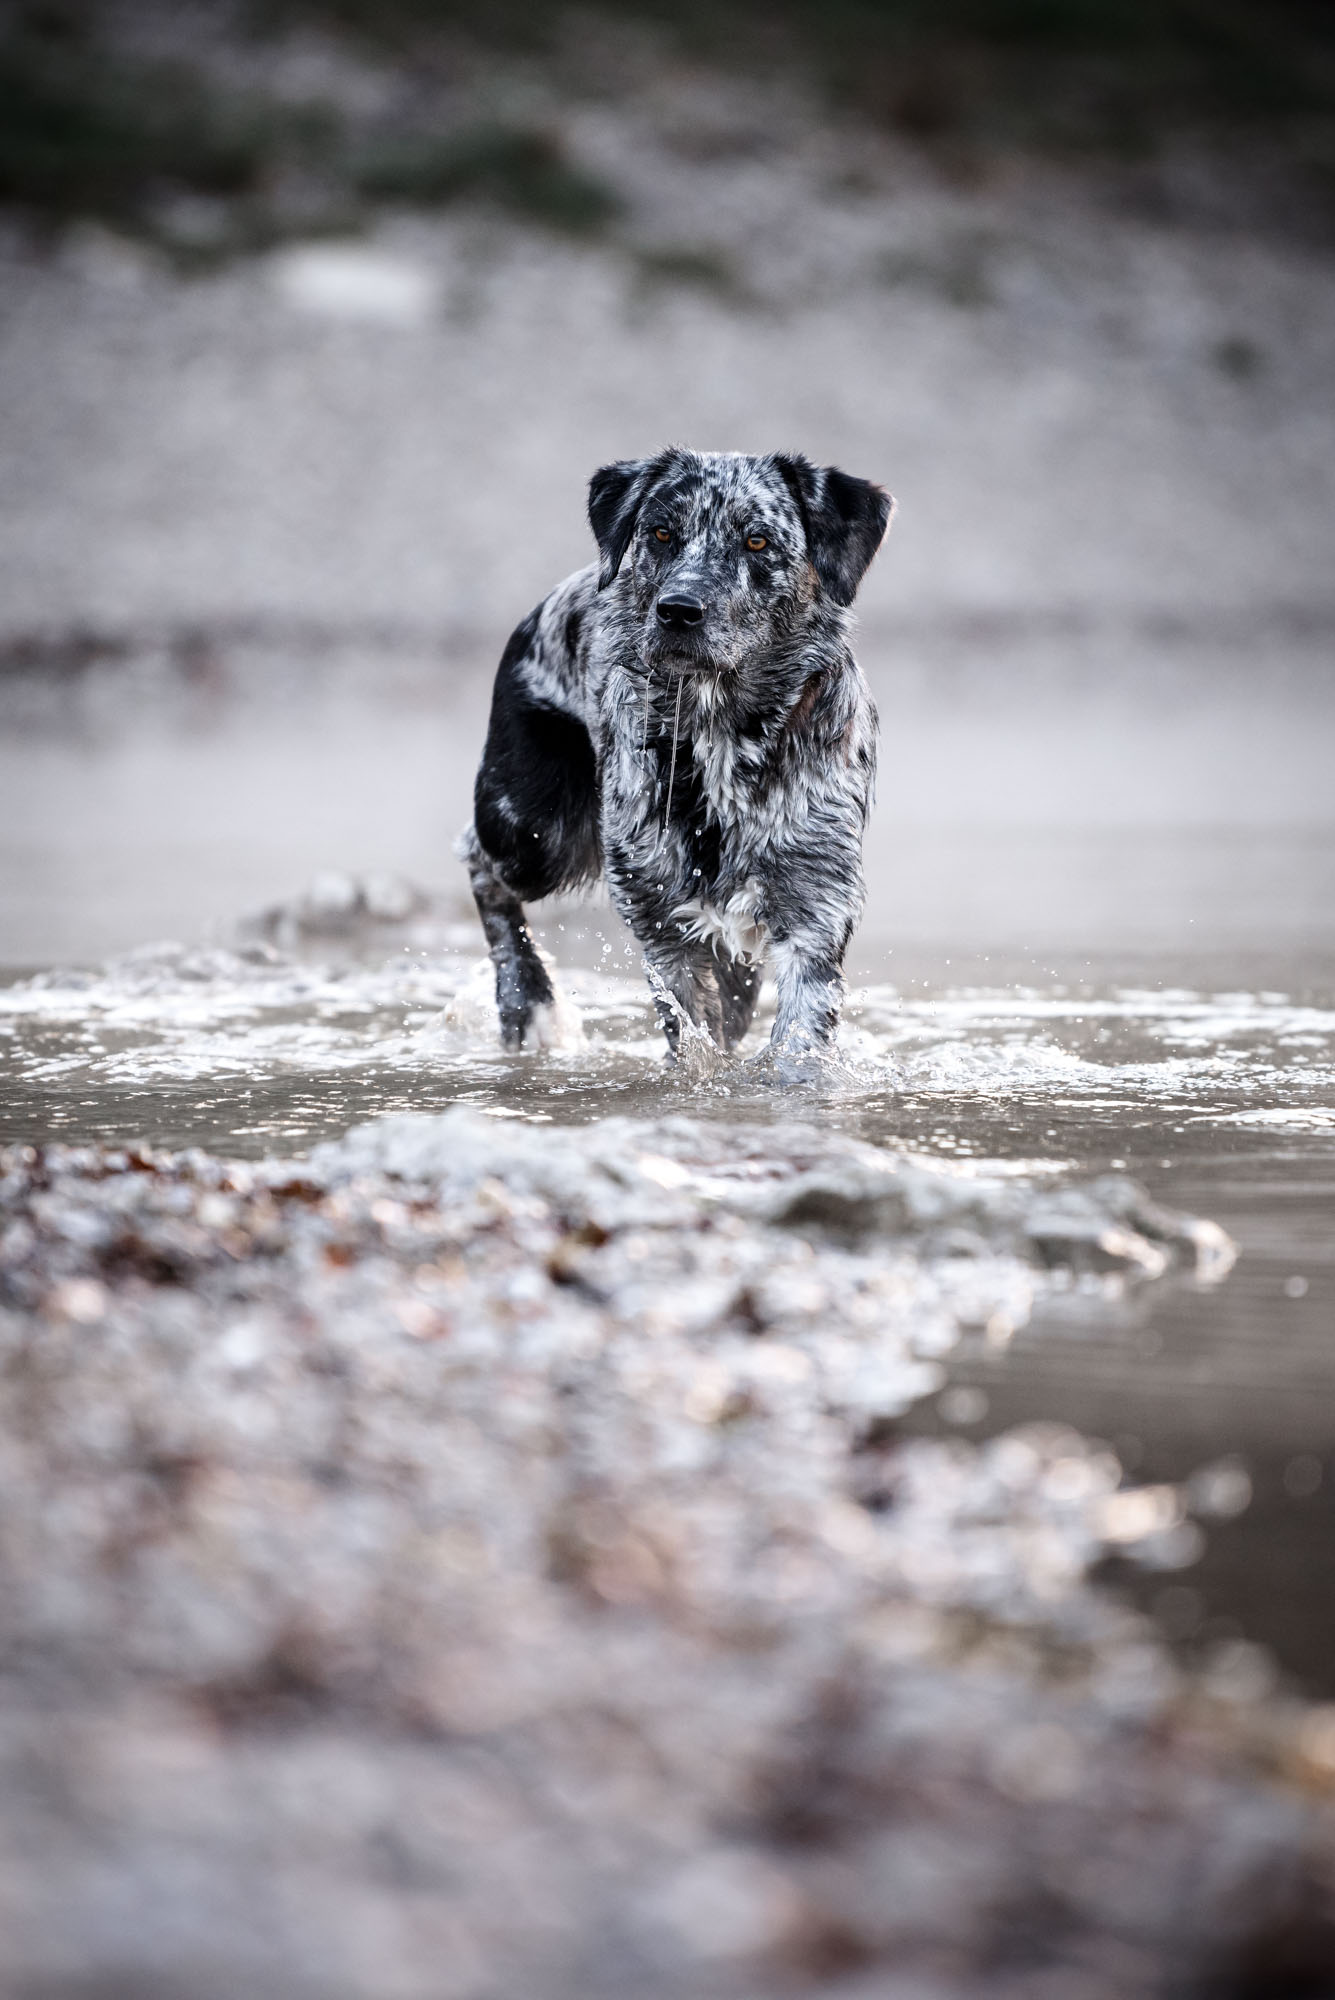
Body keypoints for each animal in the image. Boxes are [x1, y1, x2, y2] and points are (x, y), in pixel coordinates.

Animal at [461, 442, 895, 1064]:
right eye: (662, 532)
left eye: (757, 540)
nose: (678, 609)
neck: (723, 734)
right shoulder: (660, 919)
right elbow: (691, 1034)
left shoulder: (816, 904)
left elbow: (797, 1037)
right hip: (536, 831)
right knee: (479, 863)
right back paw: (527, 996)